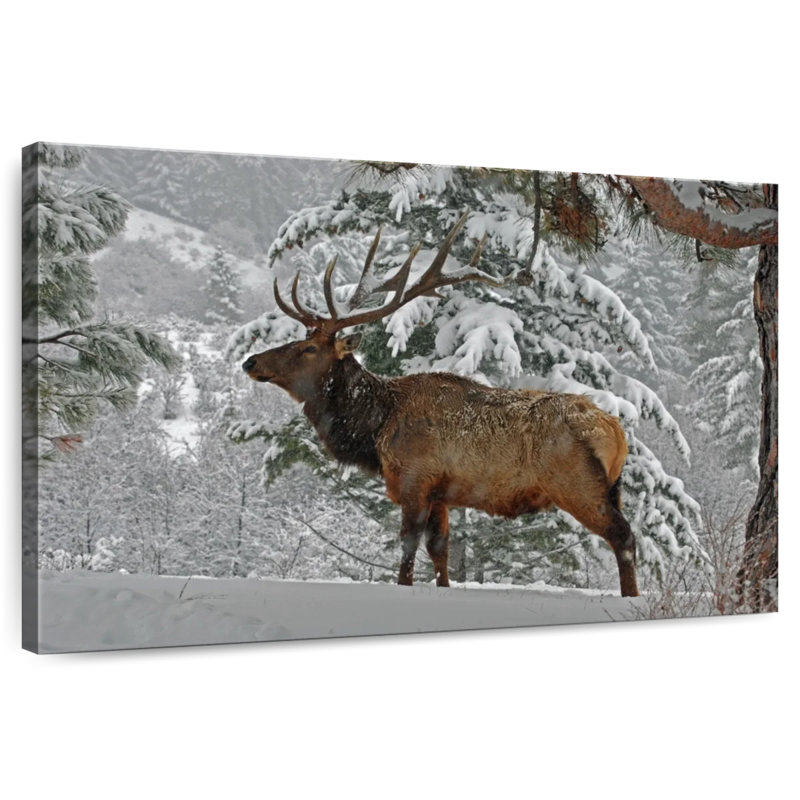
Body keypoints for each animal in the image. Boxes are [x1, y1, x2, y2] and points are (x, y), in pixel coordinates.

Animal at [242, 213, 639, 596]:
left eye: (308, 348)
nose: (251, 361)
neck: (375, 429)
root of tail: (616, 432)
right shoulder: (441, 494)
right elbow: (439, 551)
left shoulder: (415, 479)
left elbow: (407, 549)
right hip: (610, 487)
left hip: (575, 482)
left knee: (624, 537)